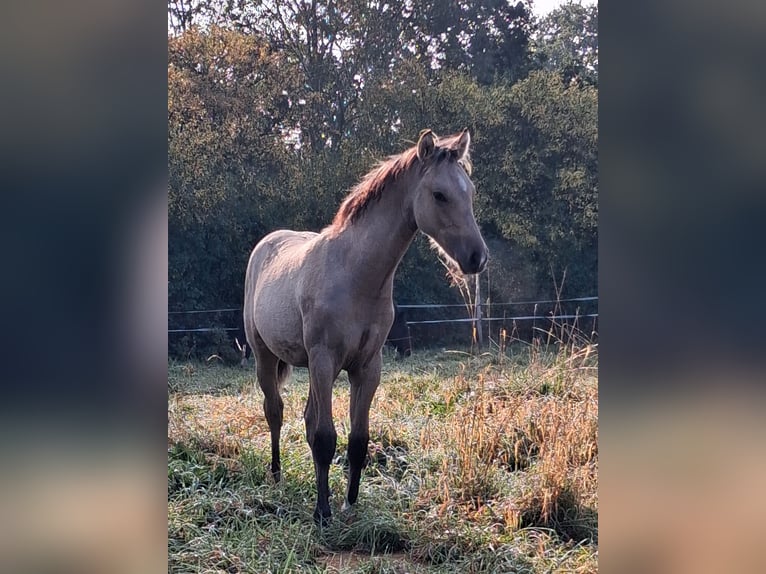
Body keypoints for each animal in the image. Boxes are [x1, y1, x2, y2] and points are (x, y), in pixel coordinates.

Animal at [243, 129, 487, 524]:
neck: (354, 274)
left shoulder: (367, 367)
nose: (477, 258)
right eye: (439, 194)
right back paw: (276, 474)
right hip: (266, 357)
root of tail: (268, 242)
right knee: (275, 412)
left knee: (305, 417)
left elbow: (357, 440)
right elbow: (325, 437)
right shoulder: (325, 360)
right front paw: (322, 512)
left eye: (471, 191)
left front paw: (350, 503)